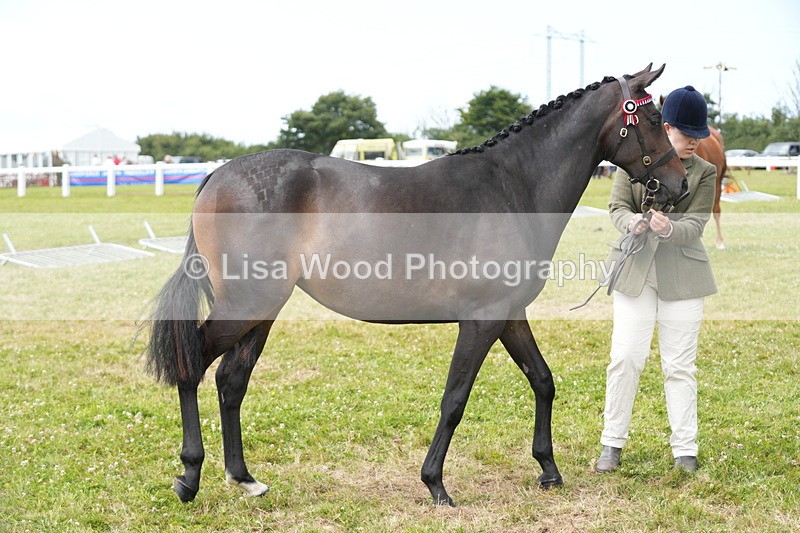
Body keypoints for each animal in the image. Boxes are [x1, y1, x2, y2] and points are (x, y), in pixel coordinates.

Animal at [144, 64, 688, 507]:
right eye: (652, 120)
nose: (680, 186)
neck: (512, 187)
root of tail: (217, 175)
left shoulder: (510, 316)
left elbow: (543, 380)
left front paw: (549, 472)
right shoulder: (481, 321)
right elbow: (455, 399)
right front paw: (436, 485)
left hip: (262, 309)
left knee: (231, 380)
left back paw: (245, 479)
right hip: (246, 305)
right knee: (191, 365)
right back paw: (189, 478)